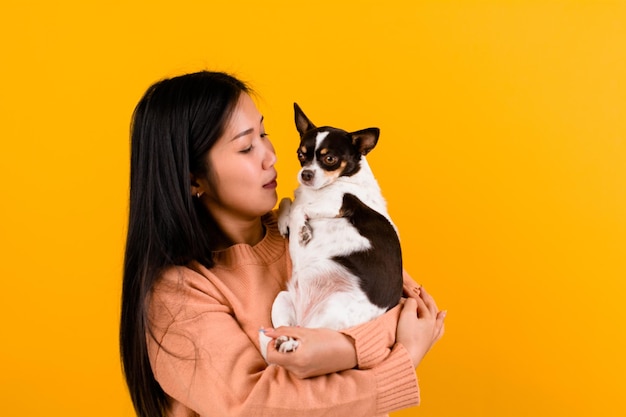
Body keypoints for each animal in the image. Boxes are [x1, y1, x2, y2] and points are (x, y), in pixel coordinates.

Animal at [258, 103, 400, 358]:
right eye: (301, 154)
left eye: (330, 159)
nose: (306, 174)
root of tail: (304, 320)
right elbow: (288, 201)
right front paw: (286, 223)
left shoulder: (340, 203)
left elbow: (299, 207)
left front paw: (301, 229)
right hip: (282, 299)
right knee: (286, 329)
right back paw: (284, 340)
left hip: (332, 310)